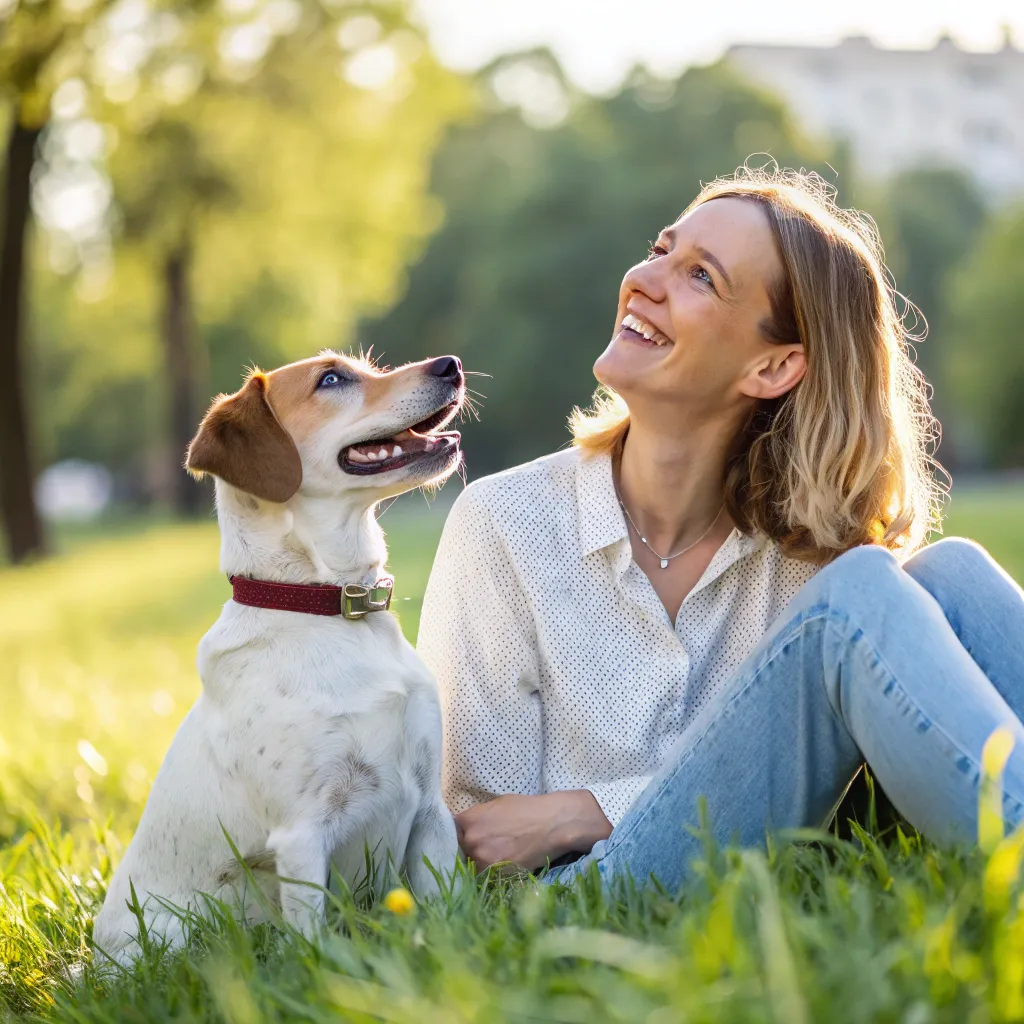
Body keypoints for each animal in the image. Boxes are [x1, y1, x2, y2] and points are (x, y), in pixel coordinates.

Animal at [94, 352, 462, 966]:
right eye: (331, 379)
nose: (451, 364)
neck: (334, 609)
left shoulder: (432, 808)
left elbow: (446, 910)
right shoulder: (302, 834)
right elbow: (314, 943)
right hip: (177, 935)